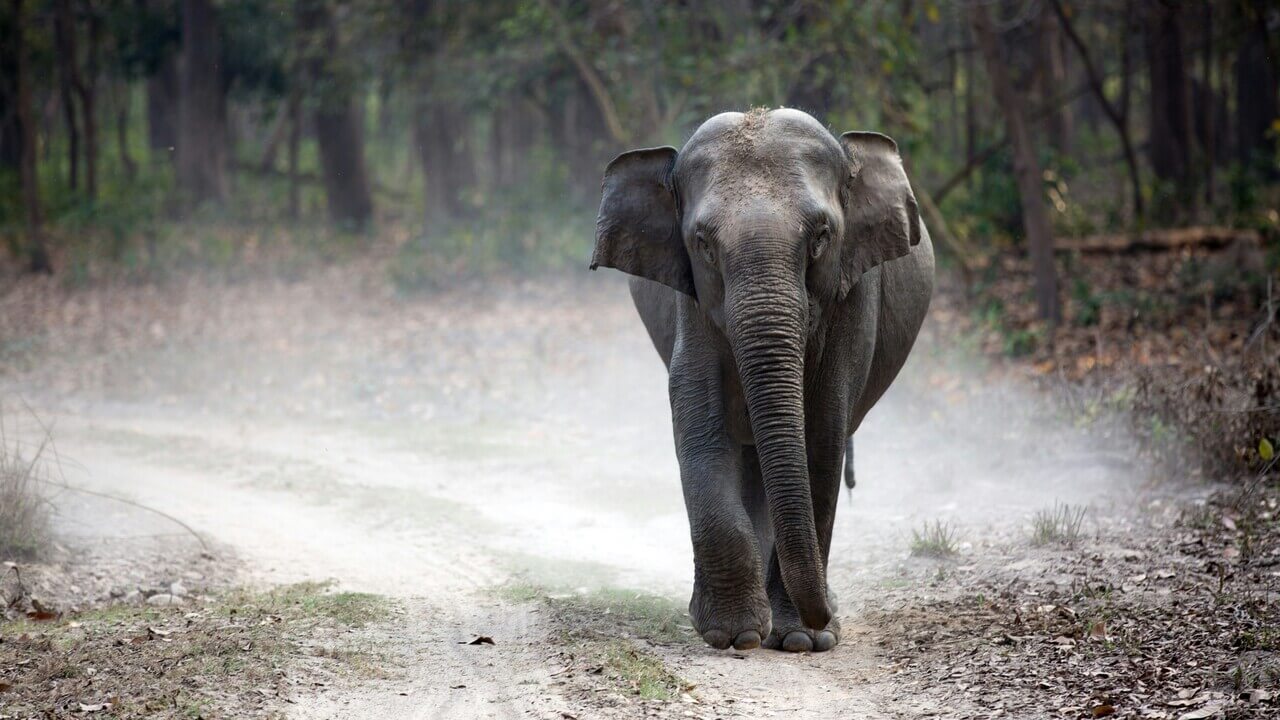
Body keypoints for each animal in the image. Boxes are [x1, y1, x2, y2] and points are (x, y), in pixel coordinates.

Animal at [586, 107, 931, 650]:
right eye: (703, 244)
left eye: (821, 238)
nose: (823, 616)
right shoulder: (692, 301)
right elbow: (699, 424)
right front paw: (735, 635)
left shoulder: (854, 295)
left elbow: (822, 435)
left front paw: (802, 640)